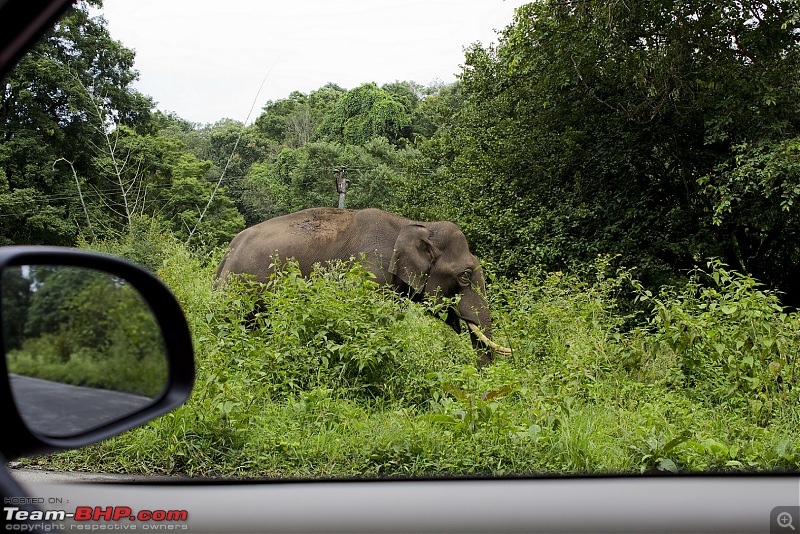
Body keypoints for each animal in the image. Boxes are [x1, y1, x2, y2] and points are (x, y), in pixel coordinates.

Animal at [214, 207, 512, 366]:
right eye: (465, 275)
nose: (482, 383)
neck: (411, 224)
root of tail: (227, 253)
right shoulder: (370, 272)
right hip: (238, 289)